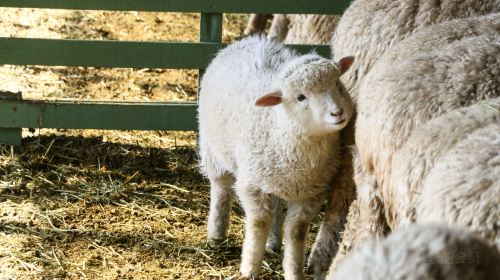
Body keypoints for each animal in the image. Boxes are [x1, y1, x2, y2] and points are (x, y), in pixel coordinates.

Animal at [197, 36, 354, 278]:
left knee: (276, 207)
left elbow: (296, 232)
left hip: (274, 177)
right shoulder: (253, 185)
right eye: (300, 97)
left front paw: (294, 272)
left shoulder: (310, 193)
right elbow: (258, 222)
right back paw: (216, 235)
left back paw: (273, 242)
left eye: (338, 84)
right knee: (221, 189)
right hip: (213, 150)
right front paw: (250, 268)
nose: (337, 113)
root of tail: (251, 39)